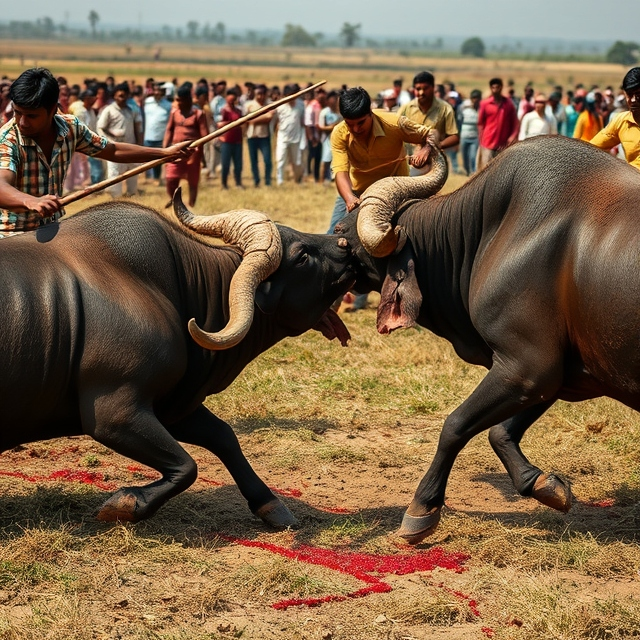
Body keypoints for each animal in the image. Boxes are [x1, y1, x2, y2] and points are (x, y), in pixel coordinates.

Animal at [1, 191, 356, 528]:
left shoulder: (174, 406)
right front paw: (125, 505)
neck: (175, 290)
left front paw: (271, 505)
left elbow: (225, 438)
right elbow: (188, 466)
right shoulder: (114, 414)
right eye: (302, 255)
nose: (345, 243)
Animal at [332, 136, 640, 544]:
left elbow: (454, 425)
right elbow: (499, 432)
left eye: (343, 235)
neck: (489, 233)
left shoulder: (526, 368)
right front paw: (543, 485)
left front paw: (421, 509)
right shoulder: (556, 375)